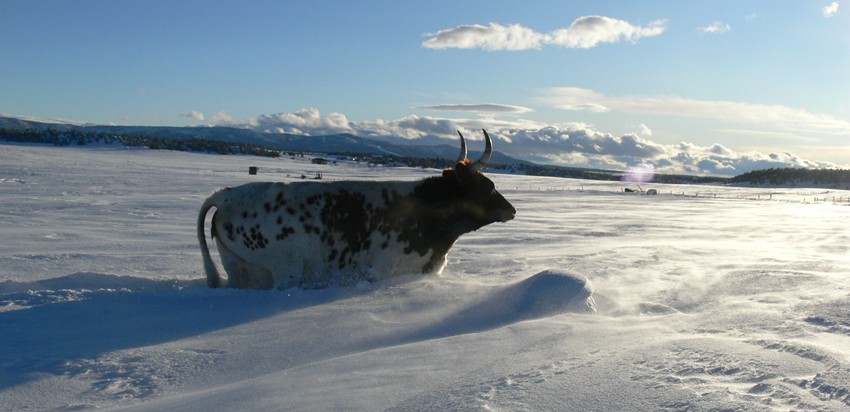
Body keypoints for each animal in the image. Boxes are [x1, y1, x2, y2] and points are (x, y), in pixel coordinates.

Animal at [198, 130, 512, 288]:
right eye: (489, 186)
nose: (512, 210)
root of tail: (226, 195)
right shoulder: (382, 270)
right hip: (285, 270)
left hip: (237, 268)